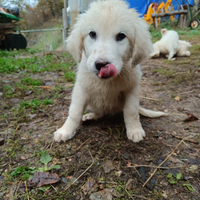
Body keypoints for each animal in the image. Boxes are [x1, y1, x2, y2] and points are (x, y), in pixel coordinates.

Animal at [52, 0, 166, 144]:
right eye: (92, 34)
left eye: (121, 36)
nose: (101, 65)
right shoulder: (81, 88)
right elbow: (75, 112)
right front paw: (65, 131)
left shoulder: (132, 89)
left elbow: (131, 111)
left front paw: (135, 130)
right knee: (99, 112)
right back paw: (90, 116)